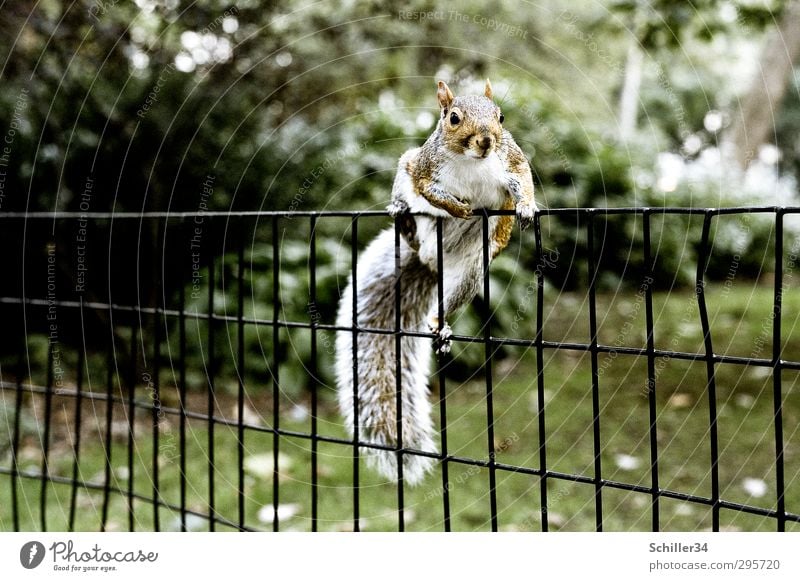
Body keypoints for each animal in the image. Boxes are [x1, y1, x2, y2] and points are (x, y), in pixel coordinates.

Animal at [334, 79, 536, 482]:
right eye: (453, 118)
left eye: (501, 117)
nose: (486, 140)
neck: (471, 161)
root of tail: (428, 259)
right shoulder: (424, 167)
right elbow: (430, 189)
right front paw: (456, 207)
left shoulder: (510, 158)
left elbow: (523, 178)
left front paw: (525, 207)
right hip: (407, 173)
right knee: (407, 201)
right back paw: (403, 217)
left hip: (471, 271)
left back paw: (439, 323)